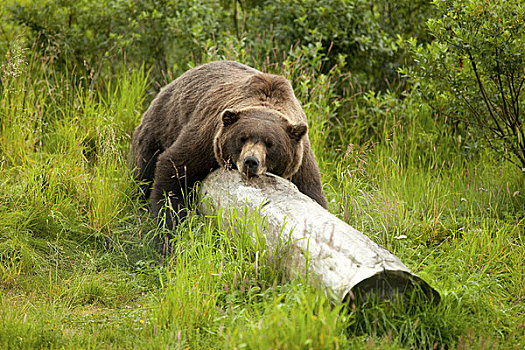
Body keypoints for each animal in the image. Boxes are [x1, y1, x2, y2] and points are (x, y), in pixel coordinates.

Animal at [130, 60, 326, 230]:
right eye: (242, 138)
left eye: (270, 144)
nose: (250, 161)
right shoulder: (206, 140)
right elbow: (173, 170)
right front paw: (170, 226)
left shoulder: (301, 164)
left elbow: (314, 194)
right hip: (161, 126)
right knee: (144, 167)